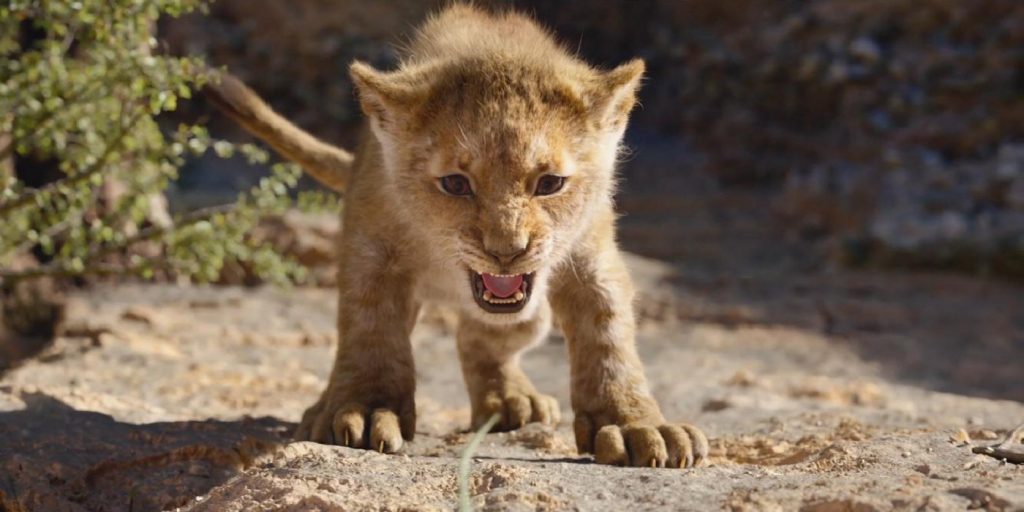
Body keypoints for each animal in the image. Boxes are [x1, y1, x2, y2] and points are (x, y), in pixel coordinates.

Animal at [205, 4, 707, 468]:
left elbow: (608, 337)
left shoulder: (591, 256)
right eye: (455, 184)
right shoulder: (372, 250)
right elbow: (370, 329)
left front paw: (635, 424)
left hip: (530, 316)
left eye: (549, 183)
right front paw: (364, 409)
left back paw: (511, 400)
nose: (507, 252)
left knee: (481, 337)